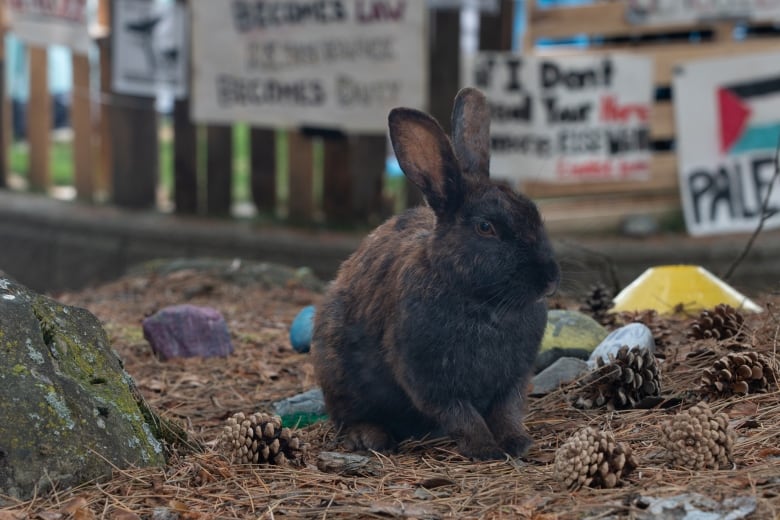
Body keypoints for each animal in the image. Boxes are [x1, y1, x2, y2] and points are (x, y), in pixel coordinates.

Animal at [310, 87, 560, 462]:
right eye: (485, 227)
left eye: (534, 212)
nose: (550, 278)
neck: (483, 302)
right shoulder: (430, 379)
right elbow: (461, 414)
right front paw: (484, 449)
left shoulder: (512, 380)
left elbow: (506, 411)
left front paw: (517, 443)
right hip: (337, 373)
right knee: (347, 416)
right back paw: (368, 437)